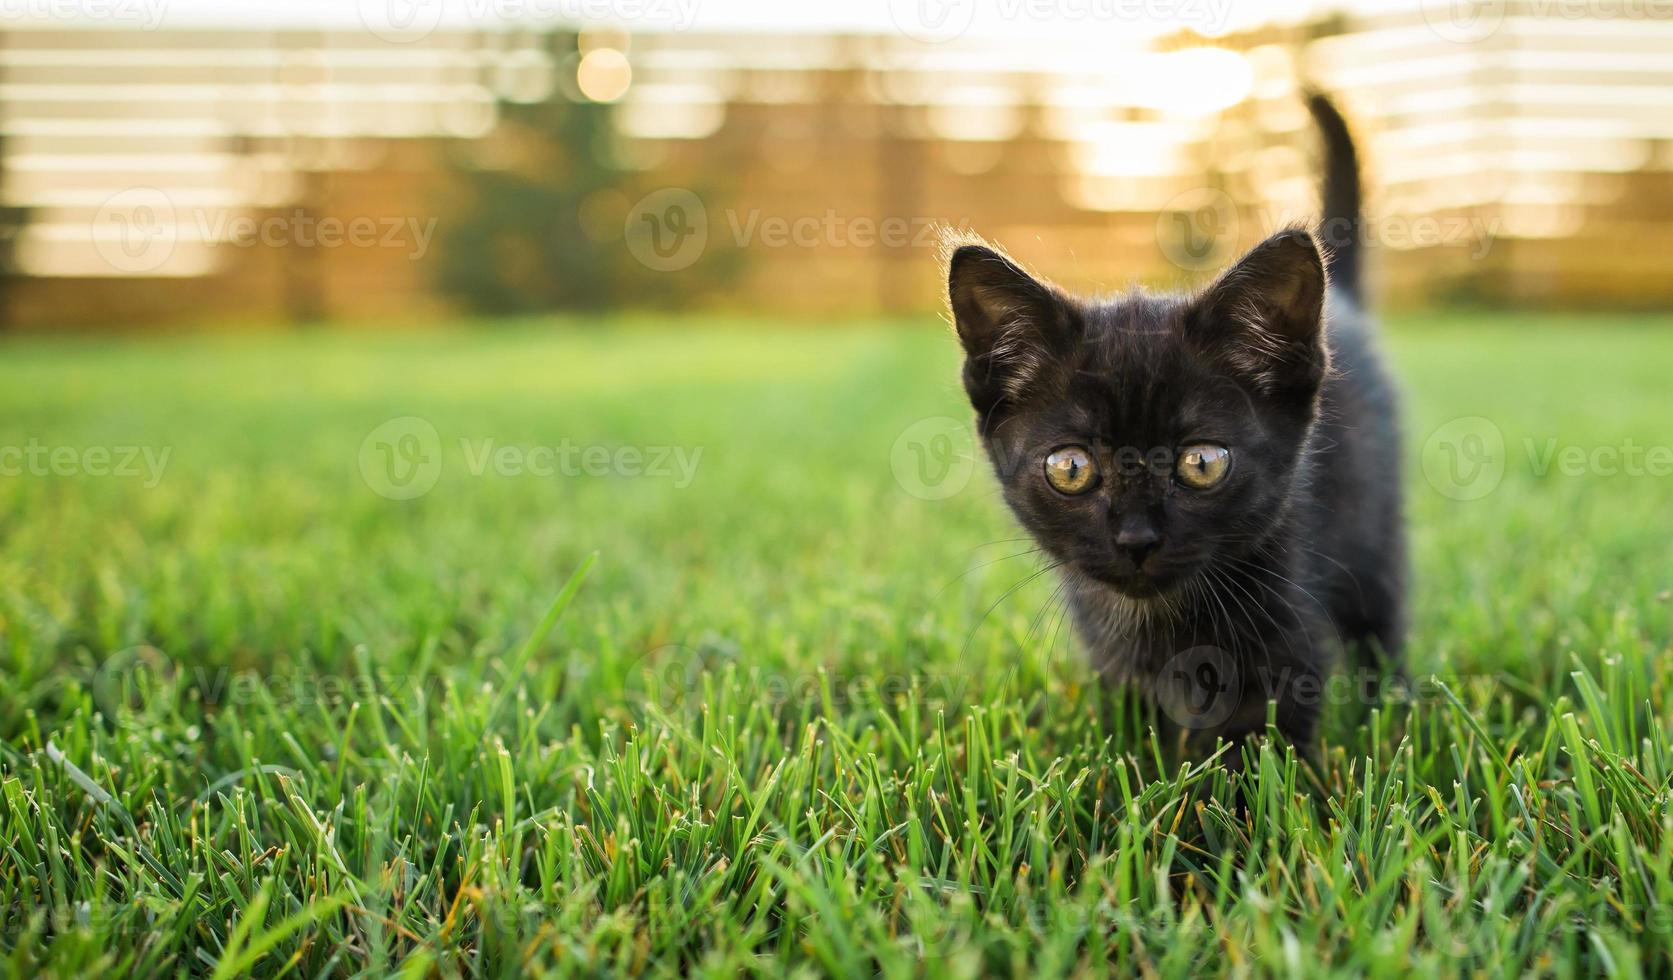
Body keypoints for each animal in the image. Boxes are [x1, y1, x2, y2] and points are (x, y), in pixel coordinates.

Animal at [950, 95, 1405, 755]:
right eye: (1070, 468)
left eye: (1203, 463)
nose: (1136, 539)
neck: (1162, 618)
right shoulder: (1114, 656)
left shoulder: (1289, 631)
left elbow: (1261, 745)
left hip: (1375, 535)